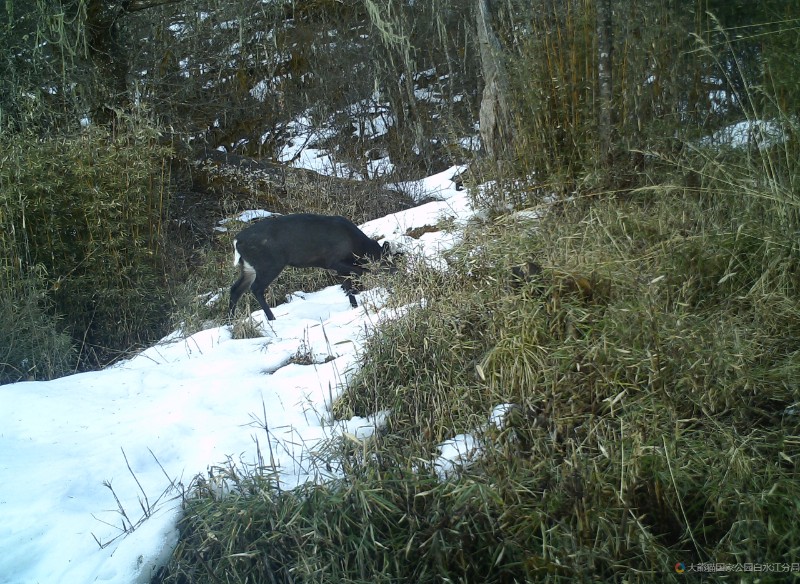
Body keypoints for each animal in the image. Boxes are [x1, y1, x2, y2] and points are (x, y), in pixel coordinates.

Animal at [228, 212, 394, 320]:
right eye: (387, 263)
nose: (396, 273)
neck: (358, 247)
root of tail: (237, 241)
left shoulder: (339, 266)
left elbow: (348, 284)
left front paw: (354, 306)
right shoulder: (333, 261)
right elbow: (358, 272)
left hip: (249, 267)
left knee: (235, 289)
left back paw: (231, 321)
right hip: (269, 263)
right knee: (256, 288)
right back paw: (271, 318)